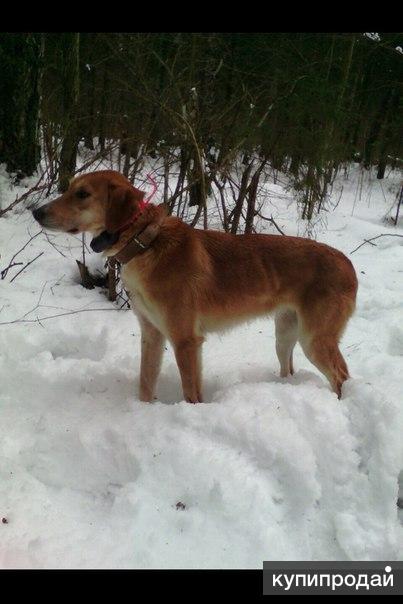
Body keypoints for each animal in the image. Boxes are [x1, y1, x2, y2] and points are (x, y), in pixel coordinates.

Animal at [33, 169, 358, 402]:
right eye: (69, 188)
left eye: (82, 194)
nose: (36, 211)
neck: (145, 243)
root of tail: (348, 263)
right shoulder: (152, 335)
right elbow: (145, 383)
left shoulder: (185, 340)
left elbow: (191, 393)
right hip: (286, 334)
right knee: (289, 368)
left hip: (314, 340)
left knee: (341, 376)